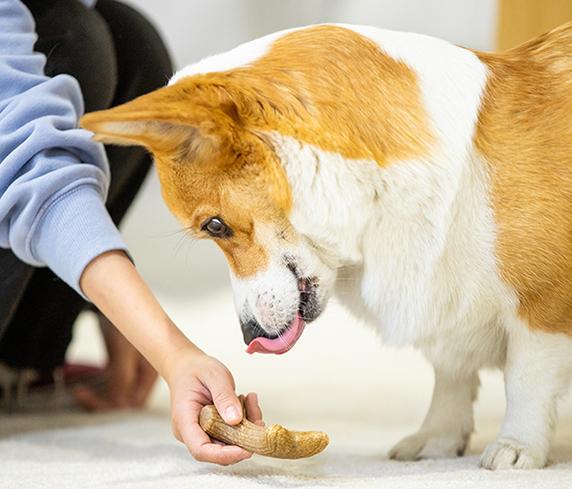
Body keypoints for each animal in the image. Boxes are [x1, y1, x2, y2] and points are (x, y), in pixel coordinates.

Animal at [81, 22, 572, 469]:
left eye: (215, 225)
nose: (249, 336)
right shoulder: (439, 301)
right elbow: (450, 375)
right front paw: (436, 440)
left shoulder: (542, 309)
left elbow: (525, 380)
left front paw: (517, 448)